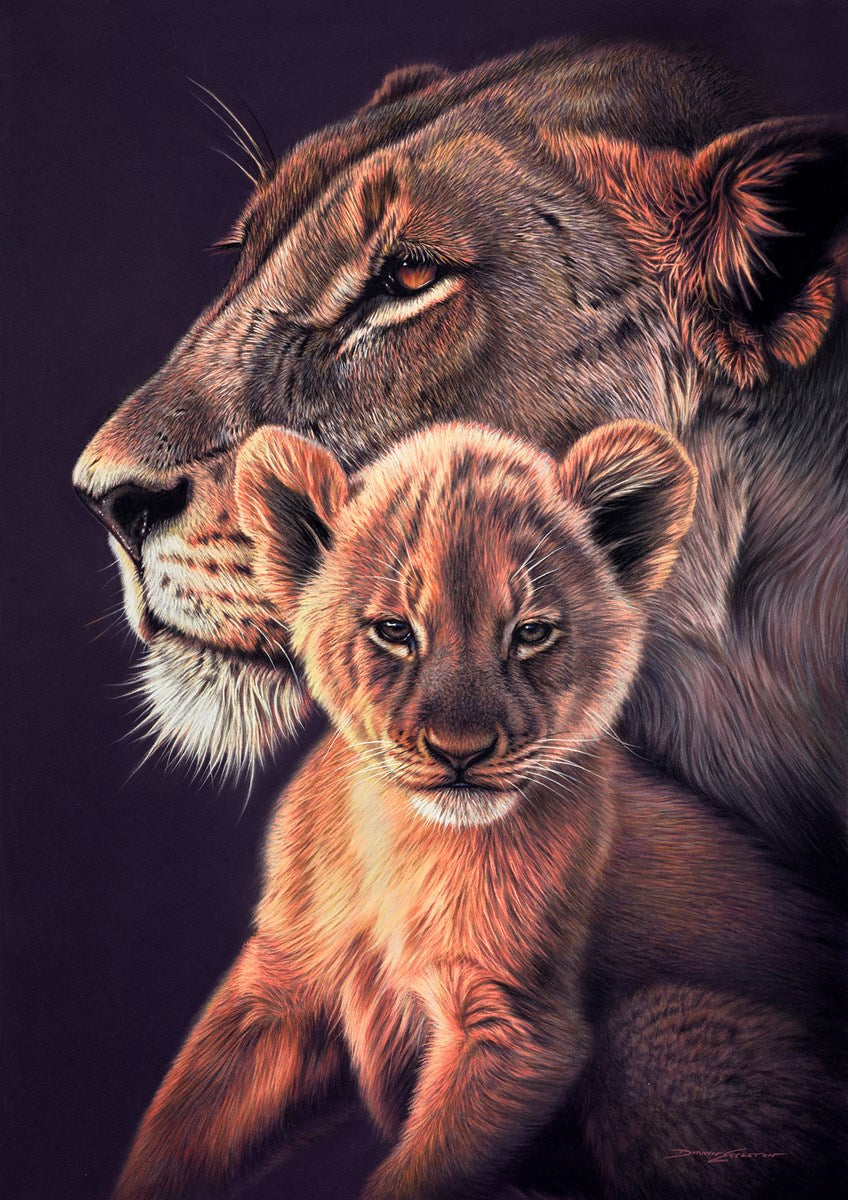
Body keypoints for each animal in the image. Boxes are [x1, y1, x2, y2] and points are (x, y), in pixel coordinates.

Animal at [112, 420, 843, 1200]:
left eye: (530, 633)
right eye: (395, 630)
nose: (459, 753)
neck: (403, 842)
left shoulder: (512, 1029)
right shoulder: (278, 988)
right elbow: (180, 1129)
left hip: (656, 1039)